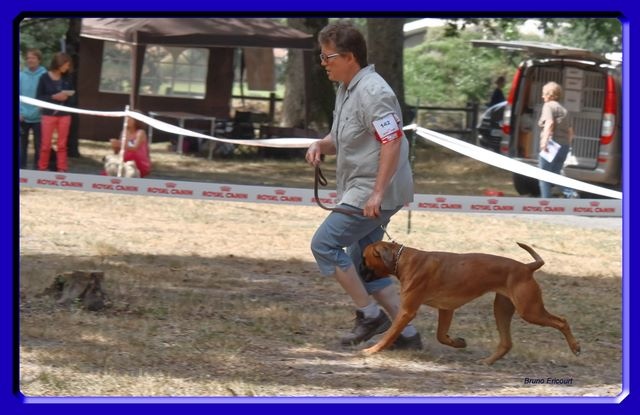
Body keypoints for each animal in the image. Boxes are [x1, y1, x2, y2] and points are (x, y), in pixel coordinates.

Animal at [361, 241, 581, 364]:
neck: (403, 259)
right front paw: (458, 343)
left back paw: (575, 347)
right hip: (502, 309)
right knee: (506, 343)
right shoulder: (446, 309)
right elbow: (441, 336)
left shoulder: (407, 311)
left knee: (562, 321)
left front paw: (372, 350)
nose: (358, 269)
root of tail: (527, 267)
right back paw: (488, 361)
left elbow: (388, 335)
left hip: (529, 311)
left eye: (364, 258)